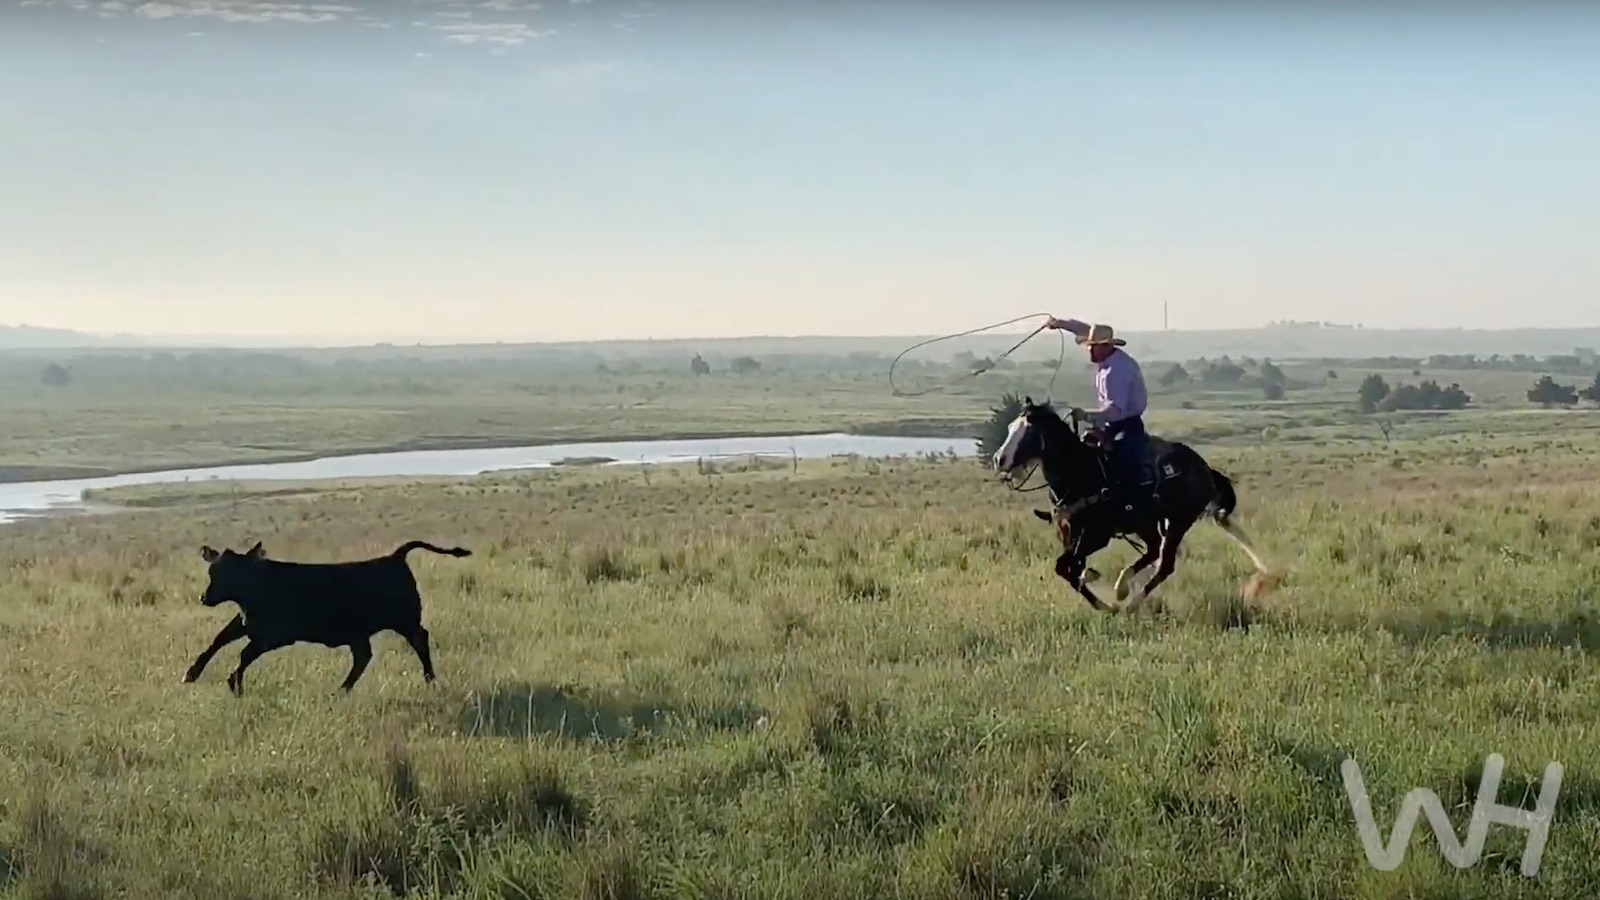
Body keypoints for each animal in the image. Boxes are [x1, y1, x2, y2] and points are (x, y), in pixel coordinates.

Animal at [991, 397, 1276, 614]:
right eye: (1010, 427)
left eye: (1028, 431)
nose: (998, 460)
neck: (1082, 473)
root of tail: (1204, 468)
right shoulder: (1069, 534)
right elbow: (1070, 568)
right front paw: (1094, 580)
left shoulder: (1096, 536)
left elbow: (1067, 567)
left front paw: (1106, 606)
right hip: (1148, 523)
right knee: (1153, 550)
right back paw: (1122, 586)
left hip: (1178, 521)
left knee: (1164, 564)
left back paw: (1129, 602)